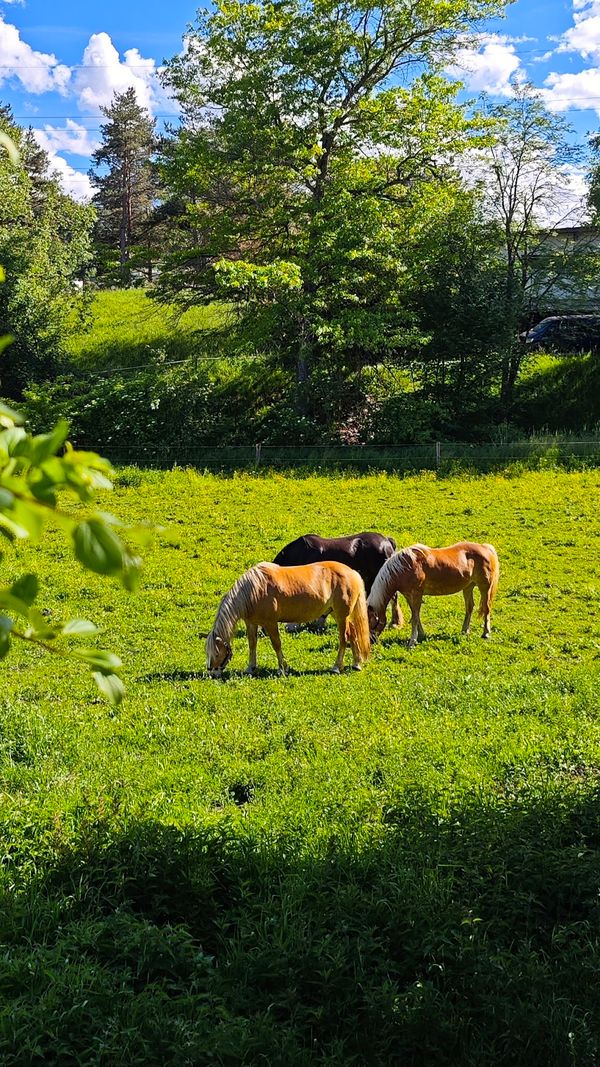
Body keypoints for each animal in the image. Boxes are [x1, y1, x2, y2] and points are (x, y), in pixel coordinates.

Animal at [203, 559, 369, 674]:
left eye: (216, 653)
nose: (212, 673)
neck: (254, 591)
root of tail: (352, 572)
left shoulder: (270, 623)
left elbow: (276, 644)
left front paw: (283, 668)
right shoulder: (251, 623)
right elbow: (252, 644)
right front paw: (251, 667)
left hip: (342, 616)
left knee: (344, 639)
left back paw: (336, 667)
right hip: (338, 614)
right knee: (353, 633)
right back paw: (357, 664)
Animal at [367, 537, 497, 644]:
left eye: (372, 622)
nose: (371, 641)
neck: (404, 567)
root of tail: (485, 548)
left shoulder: (417, 594)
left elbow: (415, 618)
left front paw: (412, 641)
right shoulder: (409, 595)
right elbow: (415, 615)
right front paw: (421, 635)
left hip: (484, 586)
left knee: (486, 608)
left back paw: (486, 633)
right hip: (468, 587)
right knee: (469, 607)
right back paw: (465, 630)